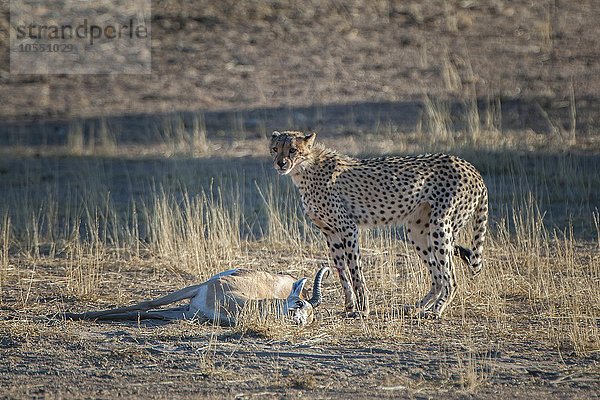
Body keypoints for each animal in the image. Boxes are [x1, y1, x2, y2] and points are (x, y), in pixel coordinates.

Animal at [270, 131, 486, 318]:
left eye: (293, 150)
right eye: (275, 148)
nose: (280, 163)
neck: (304, 169)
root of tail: (471, 168)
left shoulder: (348, 228)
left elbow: (355, 272)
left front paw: (362, 310)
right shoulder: (330, 233)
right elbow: (342, 273)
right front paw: (349, 306)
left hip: (440, 227)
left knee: (450, 277)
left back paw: (436, 311)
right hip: (417, 230)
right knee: (438, 276)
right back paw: (418, 306)